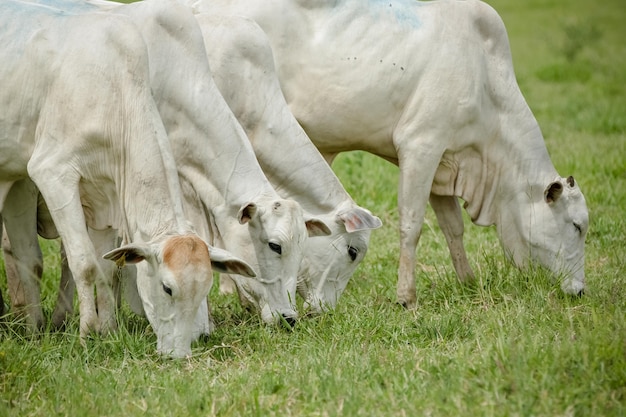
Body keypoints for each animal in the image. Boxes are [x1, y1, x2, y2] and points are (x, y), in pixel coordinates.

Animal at [0, 0, 254, 358]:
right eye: (167, 288)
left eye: (206, 288)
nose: (179, 353)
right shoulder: (52, 173)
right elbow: (84, 263)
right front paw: (86, 334)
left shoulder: (103, 199)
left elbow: (107, 268)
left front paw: (107, 330)